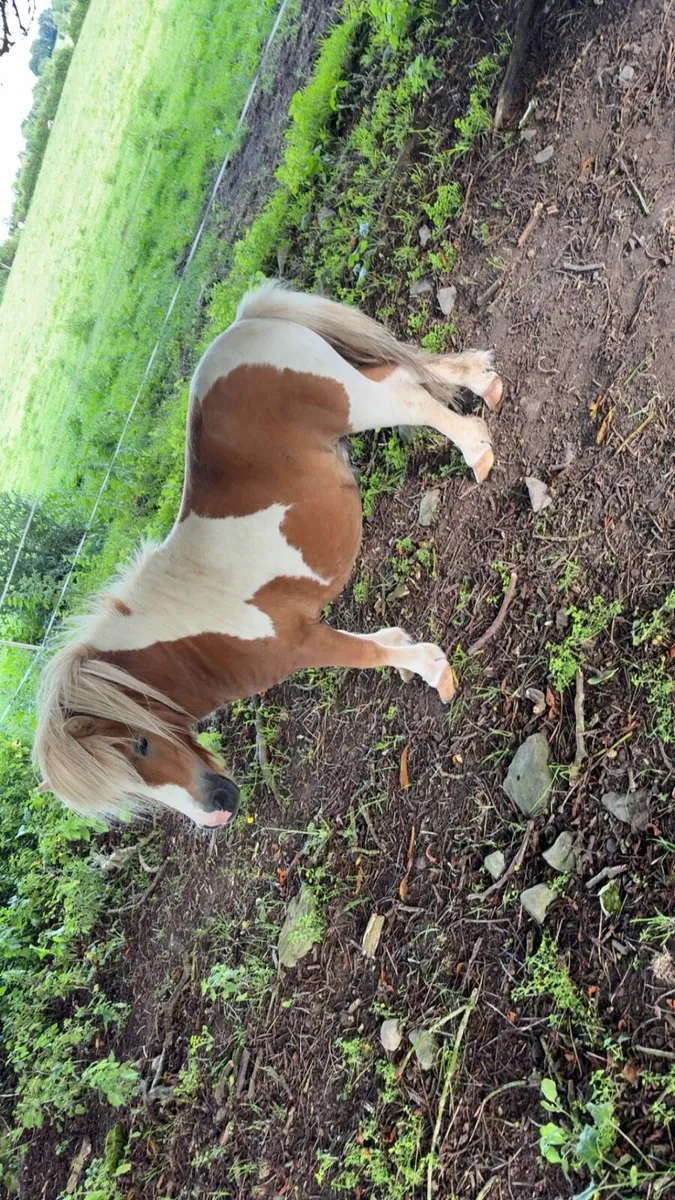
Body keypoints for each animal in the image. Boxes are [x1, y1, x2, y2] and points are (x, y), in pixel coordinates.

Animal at [34, 282, 502, 828]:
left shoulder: (300, 644)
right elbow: (383, 643)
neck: (190, 640)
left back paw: (476, 449)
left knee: (411, 398)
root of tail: (243, 325)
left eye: (141, 744)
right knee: (404, 375)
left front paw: (433, 671)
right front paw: (407, 653)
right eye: (132, 794)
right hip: (355, 392)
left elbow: (368, 654)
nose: (215, 816)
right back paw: (484, 383)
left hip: (358, 404)